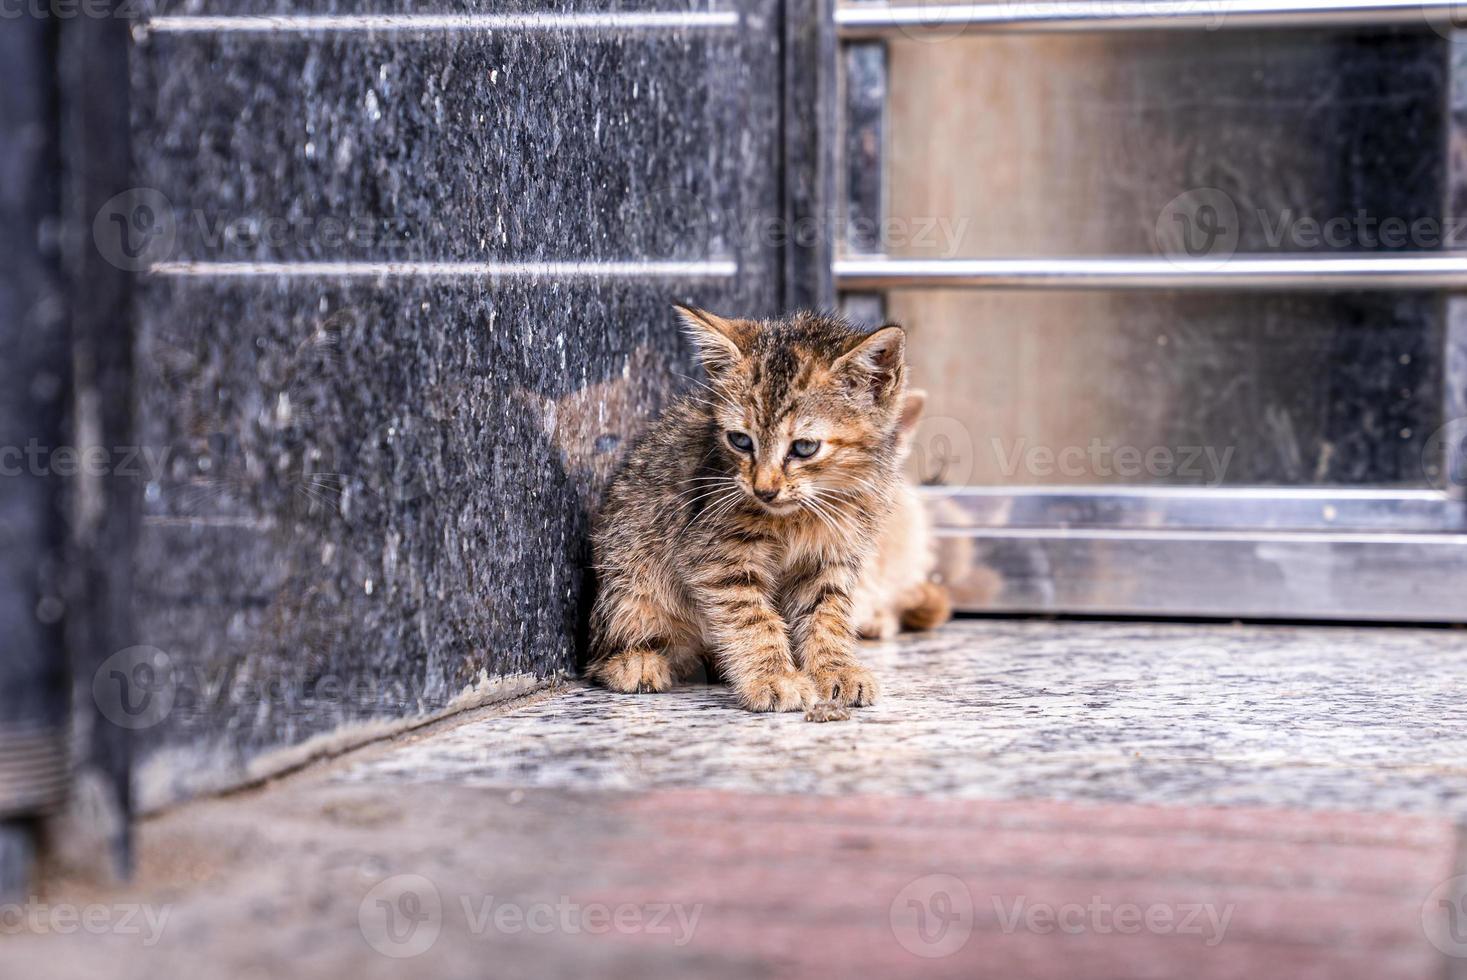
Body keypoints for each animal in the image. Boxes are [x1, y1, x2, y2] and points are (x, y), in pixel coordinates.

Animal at [583, 306, 903, 712]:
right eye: (740, 440)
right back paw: (635, 660)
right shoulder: (715, 556)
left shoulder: (830, 556)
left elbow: (826, 614)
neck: (805, 512)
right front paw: (775, 677)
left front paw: (835, 668)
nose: (763, 489)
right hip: (629, 570)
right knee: (605, 647)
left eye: (804, 447)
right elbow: (752, 617)